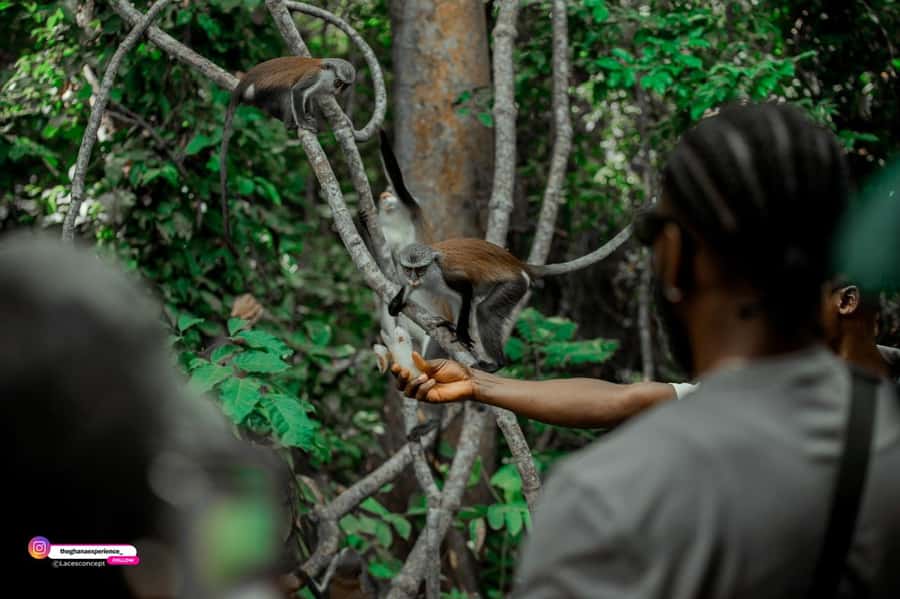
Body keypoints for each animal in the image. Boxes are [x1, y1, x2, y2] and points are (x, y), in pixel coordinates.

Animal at [219, 56, 356, 240]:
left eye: (344, 85)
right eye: (338, 82)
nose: (338, 90)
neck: (326, 70)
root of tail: (245, 80)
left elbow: (309, 97)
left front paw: (309, 115)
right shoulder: (315, 77)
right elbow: (297, 91)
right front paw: (304, 122)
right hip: (264, 89)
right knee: (287, 91)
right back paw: (290, 124)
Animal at [387, 230, 632, 371]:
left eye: (420, 269)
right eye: (409, 269)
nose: (414, 278)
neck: (430, 273)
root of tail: (519, 264)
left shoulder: (450, 276)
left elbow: (466, 291)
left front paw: (462, 335)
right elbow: (407, 293)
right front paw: (396, 303)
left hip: (514, 285)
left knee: (485, 310)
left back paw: (497, 364)